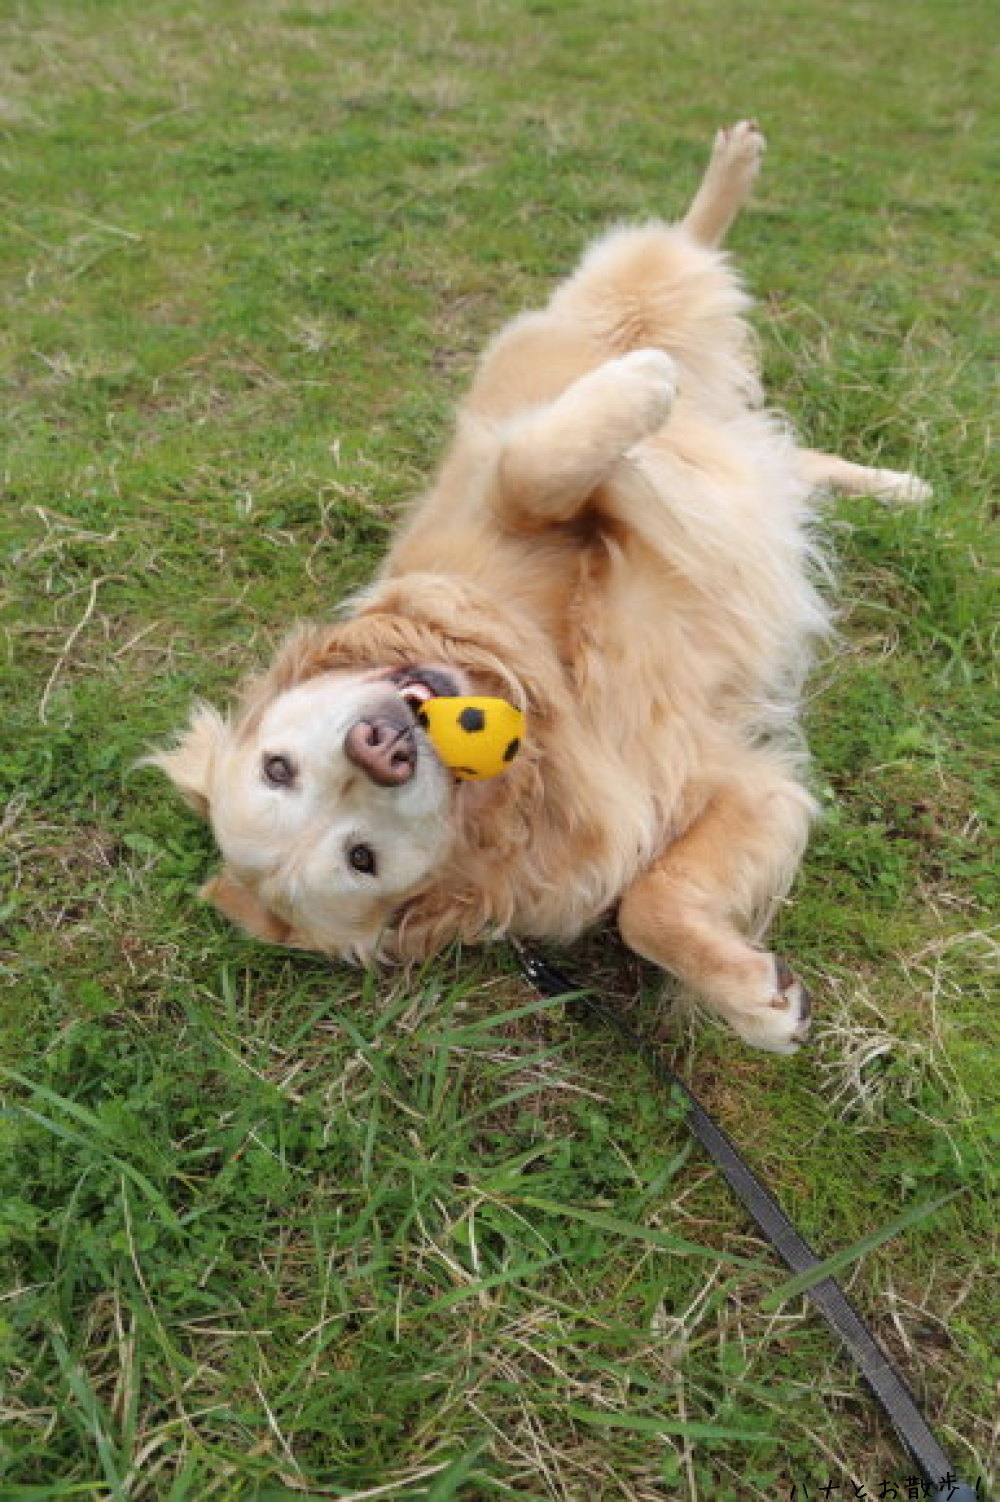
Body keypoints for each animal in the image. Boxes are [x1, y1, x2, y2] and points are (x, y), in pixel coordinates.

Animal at [150, 123, 924, 1051]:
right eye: (359, 858)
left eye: (277, 766)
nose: (379, 747)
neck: (544, 704)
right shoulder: (723, 785)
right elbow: (647, 909)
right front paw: (755, 997)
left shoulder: (514, 498)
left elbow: (533, 464)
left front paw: (636, 387)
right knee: (784, 455)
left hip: (626, 309)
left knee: (677, 254)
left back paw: (730, 179)